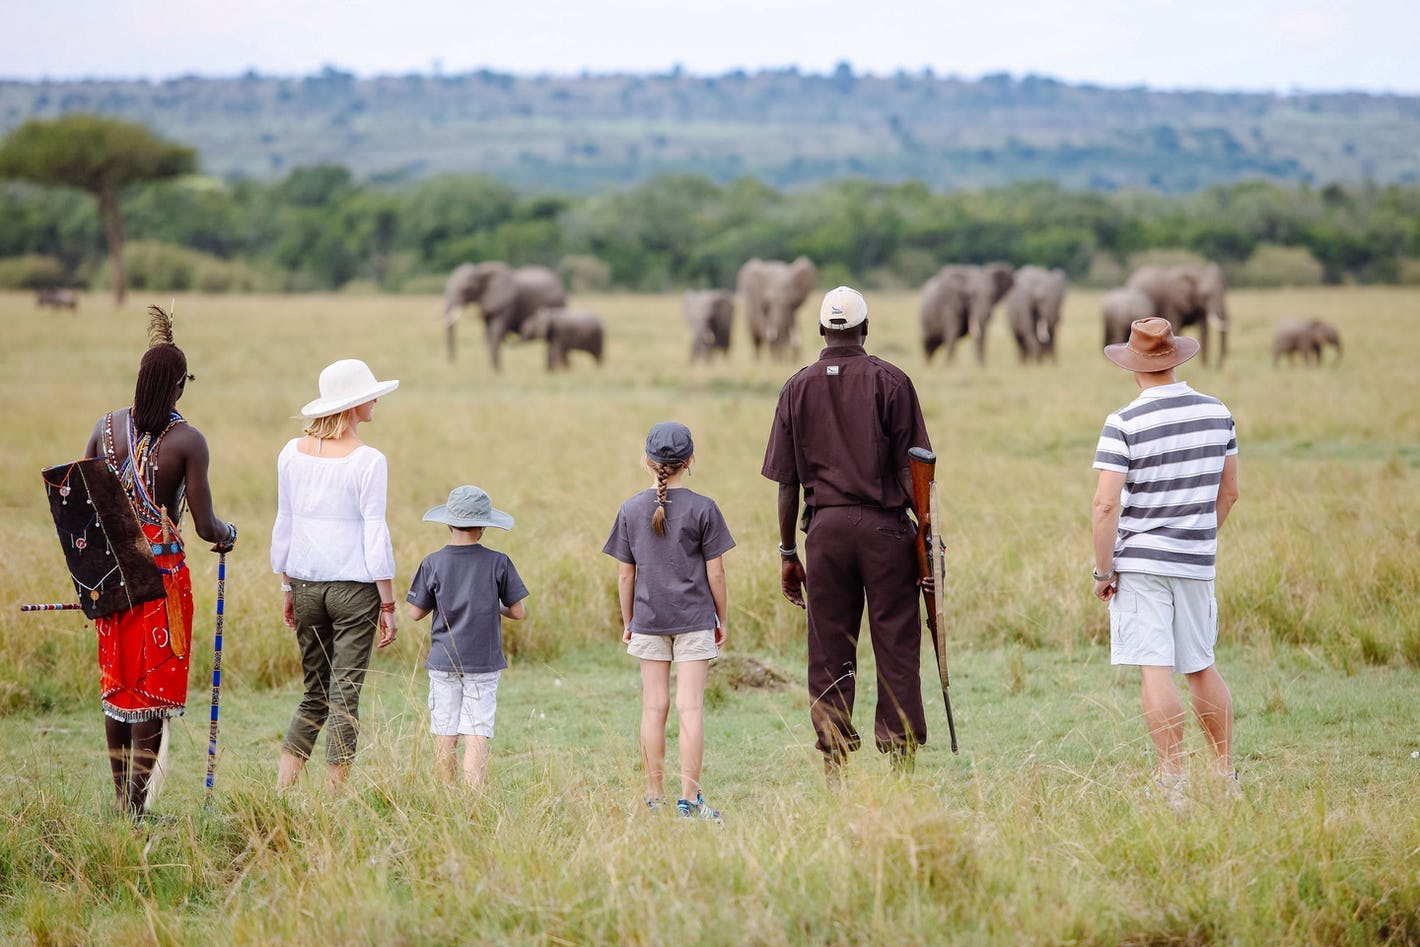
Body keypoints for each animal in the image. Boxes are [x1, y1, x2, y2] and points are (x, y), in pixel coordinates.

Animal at [440, 265, 568, 371]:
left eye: (467, 289)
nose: (452, 363)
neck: (482, 271)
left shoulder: (506, 304)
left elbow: (495, 331)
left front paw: (497, 372)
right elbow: (488, 333)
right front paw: (492, 371)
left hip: (557, 305)